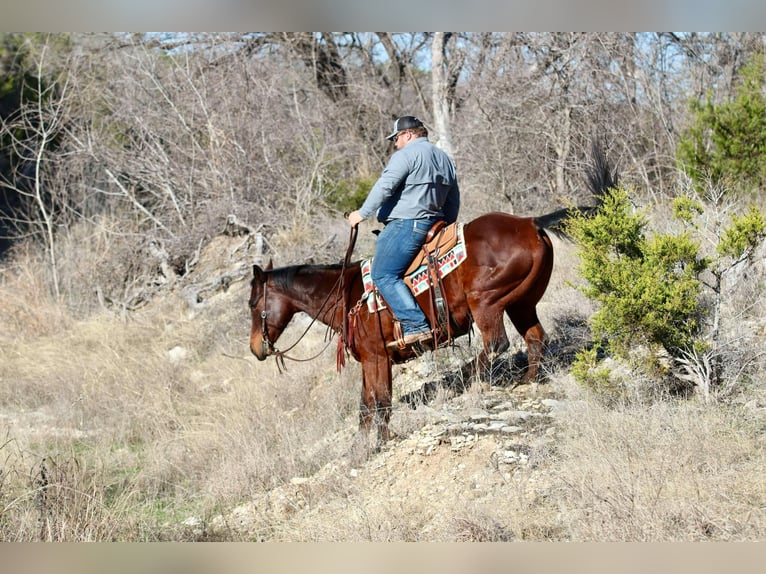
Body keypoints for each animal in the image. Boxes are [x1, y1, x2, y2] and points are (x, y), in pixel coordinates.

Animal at [249, 143, 617, 447]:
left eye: (253, 304)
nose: (256, 349)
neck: (346, 293)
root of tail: (530, 222)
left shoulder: (377, 357)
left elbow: (381, 401)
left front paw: (382, 442)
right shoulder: (370, 360)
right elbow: (366, 405)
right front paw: (361, 446)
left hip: (486, 301)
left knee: (496, 343)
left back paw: (473, 377)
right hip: (521, 302)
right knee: (535, 337)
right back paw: (526, 381)